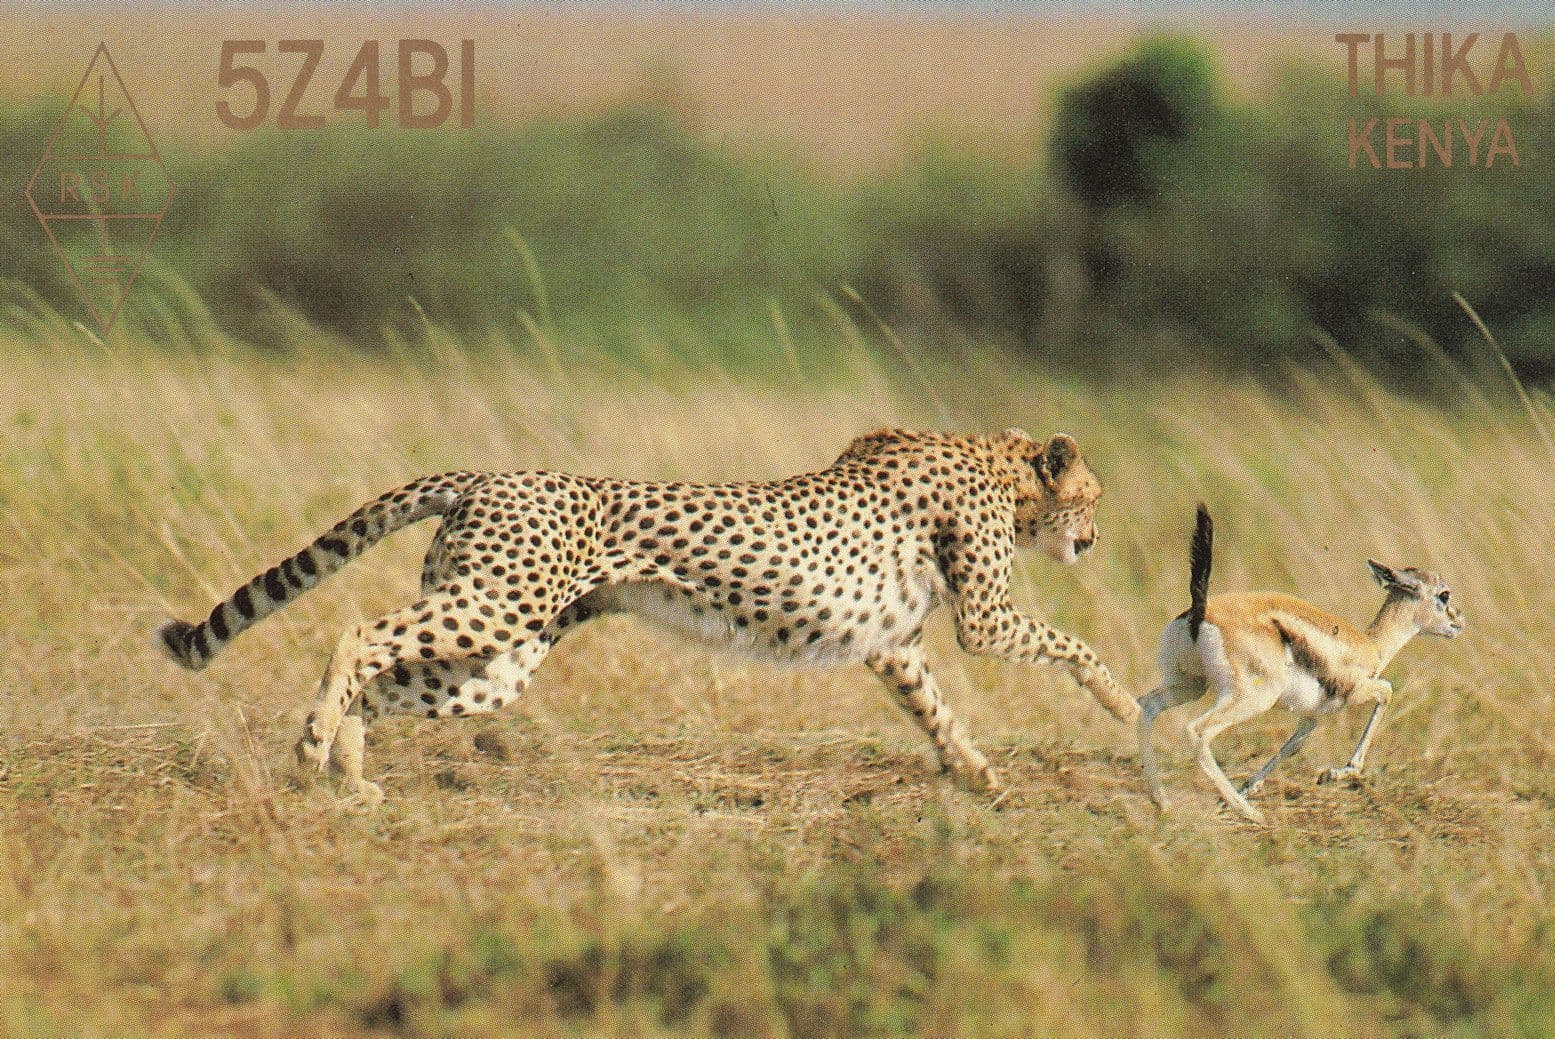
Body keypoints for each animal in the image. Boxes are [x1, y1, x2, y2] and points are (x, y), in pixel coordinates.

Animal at [156, 427, 1137, 804]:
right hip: (492, 607)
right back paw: (312, 745)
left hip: (498, 655)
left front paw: (977, 773)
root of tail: (488, 472)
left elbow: (935, 710)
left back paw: (348, 774)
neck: (1000, 464)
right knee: (359, 632)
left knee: (383, 676)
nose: (1093, 541)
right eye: (1093, 497)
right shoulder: (985, 618)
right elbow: (1069, 642)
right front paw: (1125, 703)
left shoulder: (891, 644)